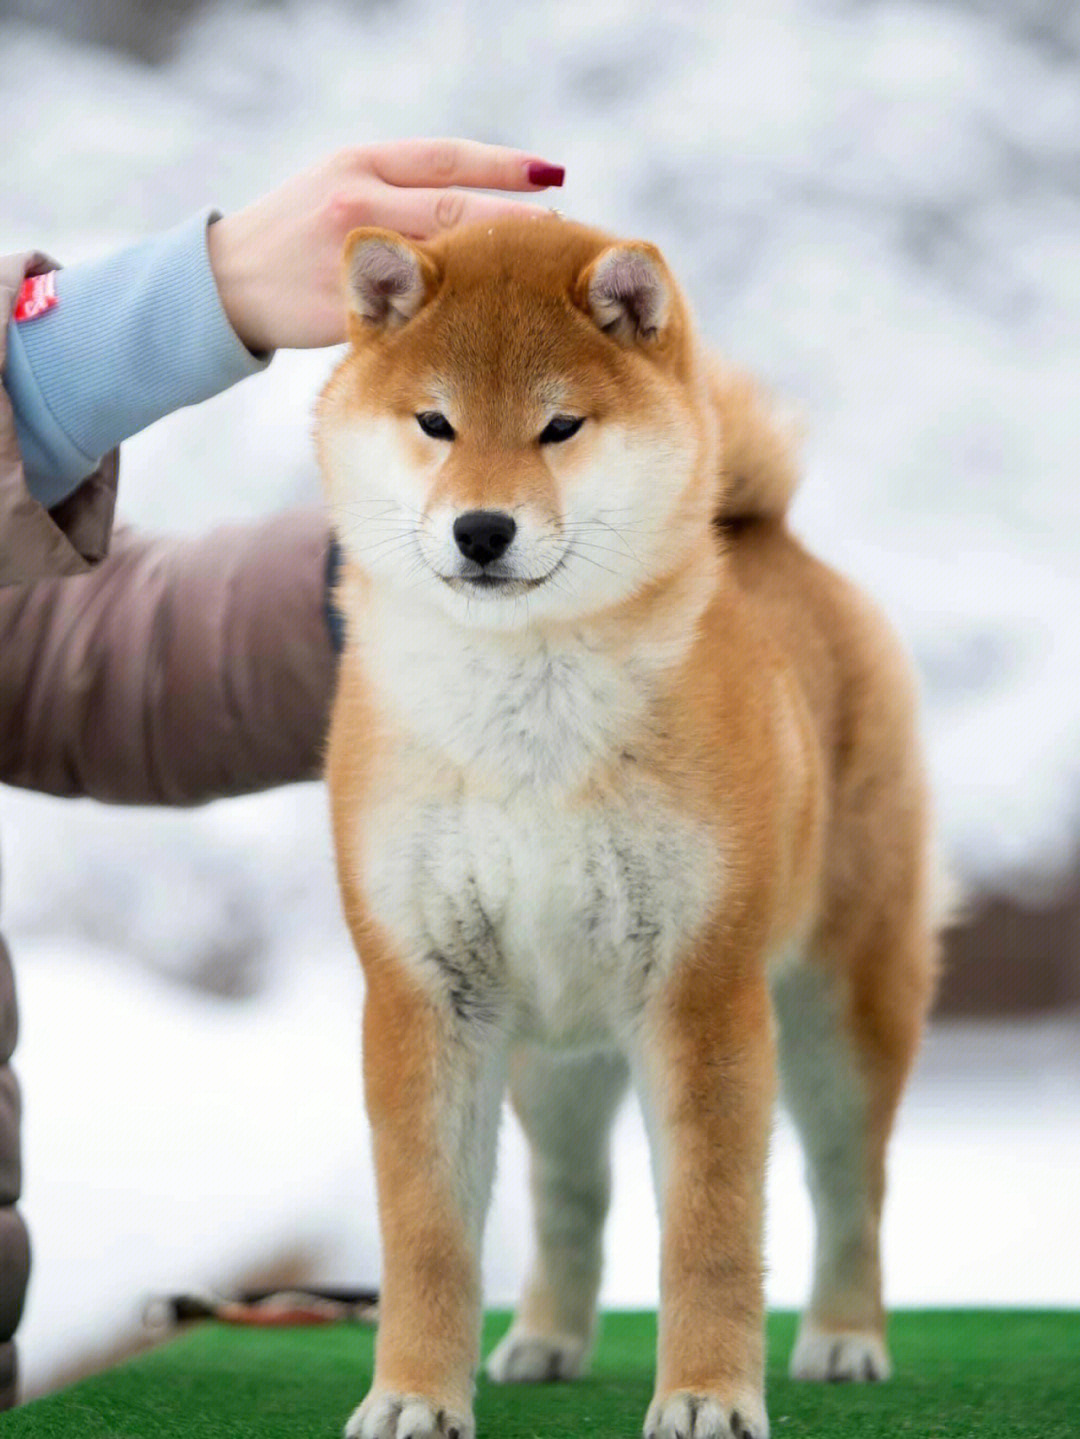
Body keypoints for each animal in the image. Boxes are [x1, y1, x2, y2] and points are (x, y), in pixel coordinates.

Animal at [319, 212, 937, 1439]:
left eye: (560, 425)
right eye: (435, 422)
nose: (483, 527)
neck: (524, 713)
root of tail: (773, 538)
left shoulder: (701, 990)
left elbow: (709, 1231)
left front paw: (705, 1393)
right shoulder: (426, 991)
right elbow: (429, 1237)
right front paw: (412, 1393)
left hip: (842, 1009)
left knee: (851, 1185)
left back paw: (846, 1335)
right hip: (554, 1058)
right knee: (572, 1194)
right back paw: (546, 1337)